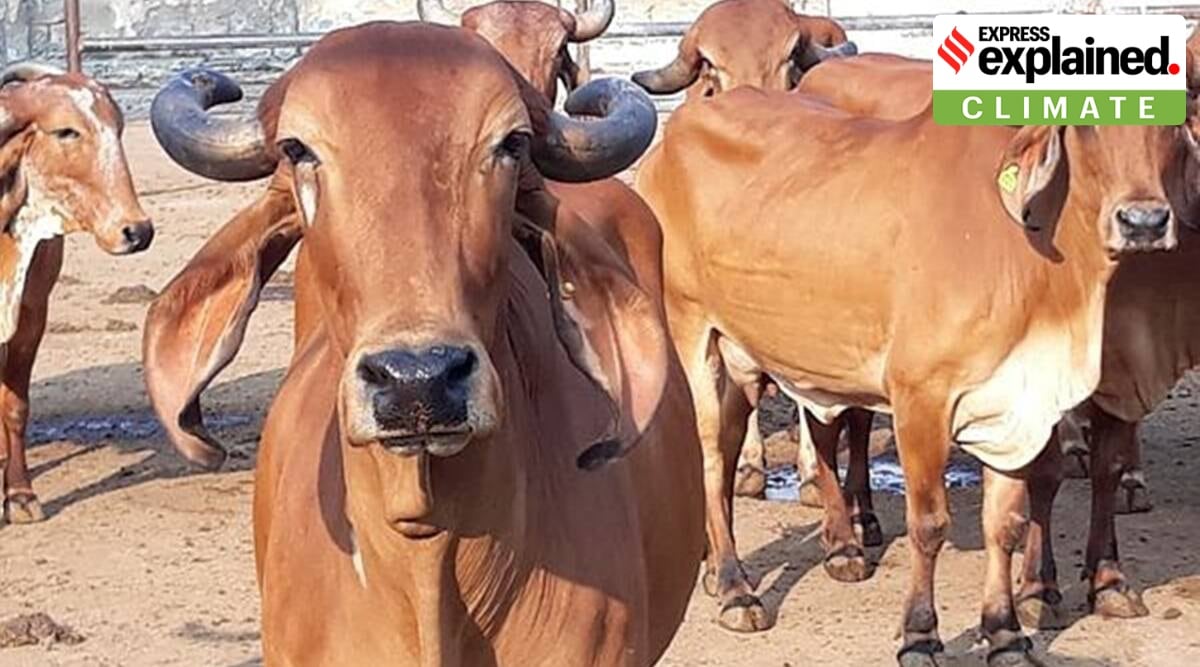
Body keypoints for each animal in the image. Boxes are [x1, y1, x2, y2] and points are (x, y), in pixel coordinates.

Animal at [0, 64, 154, 526]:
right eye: (66, 131)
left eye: (118, 127)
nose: (136, 230)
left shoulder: (32, 313)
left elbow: (14, 405)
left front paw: (19, 495)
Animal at [636, 86, 1190, 666]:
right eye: (1084, 121)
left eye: (1174, 116)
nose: (1144, 222)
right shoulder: (921, 399)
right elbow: (929, 524)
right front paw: (920, 635)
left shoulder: (1013, 405)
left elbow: (1006, 524)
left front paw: (1004, 632)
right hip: (692, 334)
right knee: (707, 457)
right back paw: (735, 587)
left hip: (742, 358)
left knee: (727, 452)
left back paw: (715, 572)